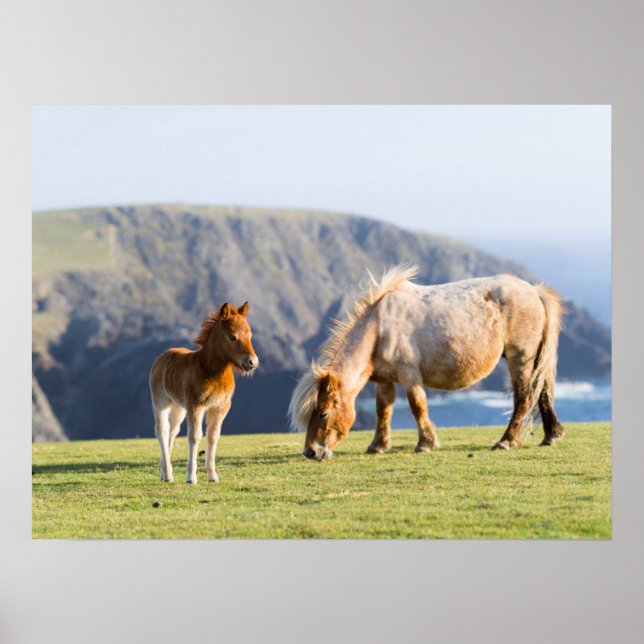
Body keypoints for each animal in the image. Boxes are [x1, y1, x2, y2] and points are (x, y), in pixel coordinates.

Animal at [149, 302, 258, 484]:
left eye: (250, 335)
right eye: (232, 337)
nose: (252, 362)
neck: (210, 371)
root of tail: (162, 356)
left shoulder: (220, 407)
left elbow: (213, 436)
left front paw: (212, 476)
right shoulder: (196, 406)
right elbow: (195, 436)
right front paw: (191, 477)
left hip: (179, 407)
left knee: (173, 430)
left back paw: (165, 472)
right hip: (160, 402)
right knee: (162, 431)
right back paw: (168, 475)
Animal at [289, 265, 565, 461]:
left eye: (323, 412)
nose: (311, 452)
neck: (379, 327)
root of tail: (534, 291)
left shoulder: (409, 375)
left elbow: (417, 407)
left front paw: (425, 444)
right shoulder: (384, 381)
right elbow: (383, 410)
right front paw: (378, 446)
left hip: (521, 358)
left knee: (524, 398)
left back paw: (506, 441)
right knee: (541, 392)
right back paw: (551, 435)